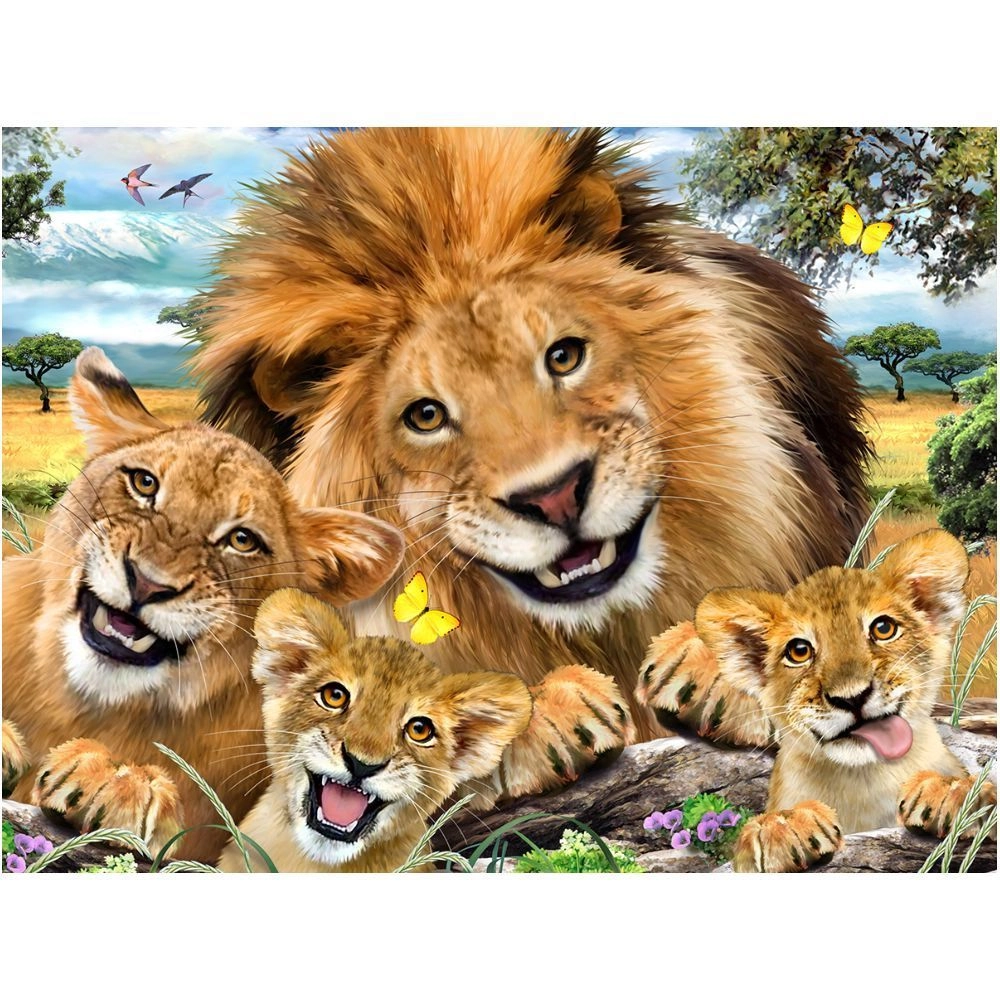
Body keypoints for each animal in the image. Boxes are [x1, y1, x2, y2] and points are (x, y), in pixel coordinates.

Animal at [190, 128, 872, 801]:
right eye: (426, 416)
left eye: (564, 356)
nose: (553, 495)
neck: (607, 628)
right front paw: (543, 715)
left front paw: (723, 666)